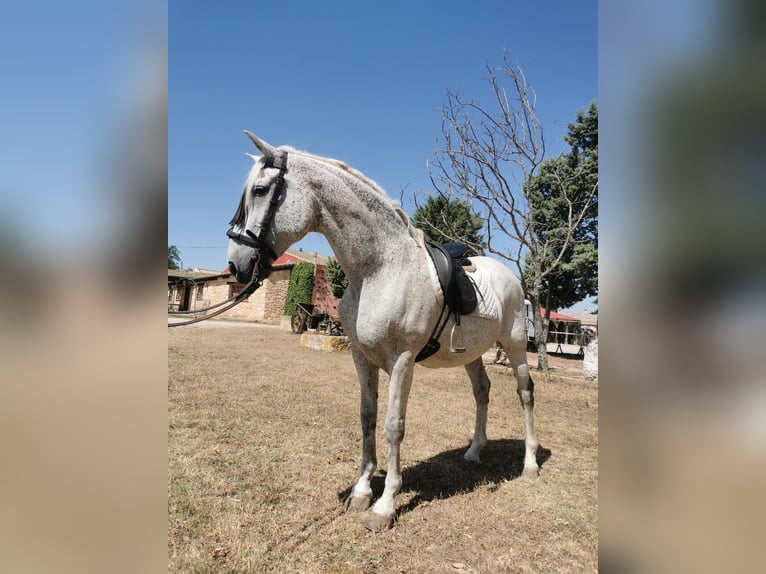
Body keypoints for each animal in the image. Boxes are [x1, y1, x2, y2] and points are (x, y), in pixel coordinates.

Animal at [226, 133, 540, 532]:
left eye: (261, 190)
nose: (236, 264)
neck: (379, 268)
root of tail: (510, 276)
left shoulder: (401, 361)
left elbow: (393, 426)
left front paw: (386, 504)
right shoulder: (362, 357)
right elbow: (367, 417)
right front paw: (362, 491)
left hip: (514, 345)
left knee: (525, 393)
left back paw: (530, 464)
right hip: (471, 353)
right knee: (482, 391)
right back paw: (473, 452)